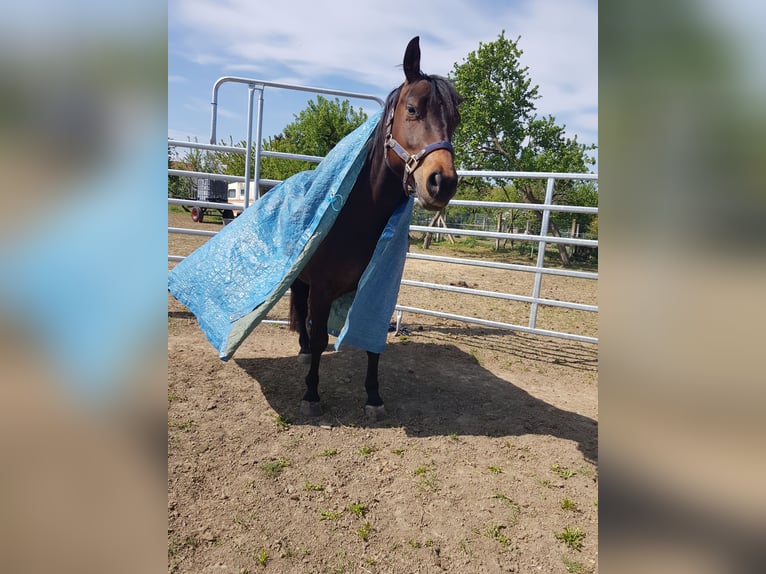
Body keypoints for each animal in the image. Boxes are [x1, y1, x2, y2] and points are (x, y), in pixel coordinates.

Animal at [289, 36, 461, 419]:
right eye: (412, 109)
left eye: (455, 120)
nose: (442, 182)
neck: (356, 219)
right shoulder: (322, 288)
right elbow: (321, 337)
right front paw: (311, 394)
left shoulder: (378, 288)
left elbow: (373, 344)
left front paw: (373, 397)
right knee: (302, 313)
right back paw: (304, 353)